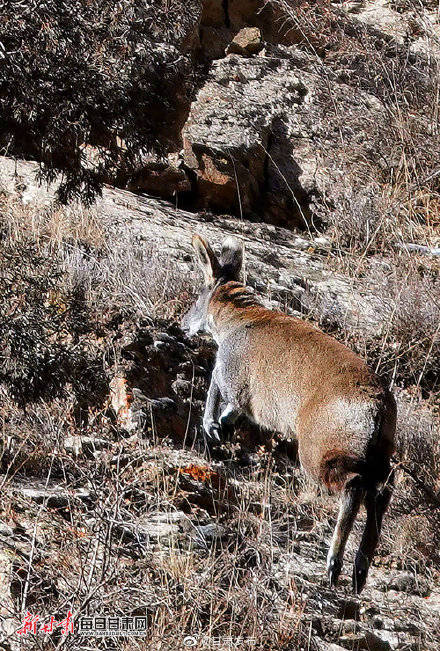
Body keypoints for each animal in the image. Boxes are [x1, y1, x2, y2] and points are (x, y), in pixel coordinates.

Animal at [180, 236, 398, 596]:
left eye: (198, 293)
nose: (184, 324)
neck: (240, 319)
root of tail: (378, 408)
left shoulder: (232, 375)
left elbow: (216, 389)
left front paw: (210, 426)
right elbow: (232, 413)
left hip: (319, 448)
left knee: (354, 487)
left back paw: (334, 565)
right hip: (378, 456)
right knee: (381, 493)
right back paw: (359, 572)